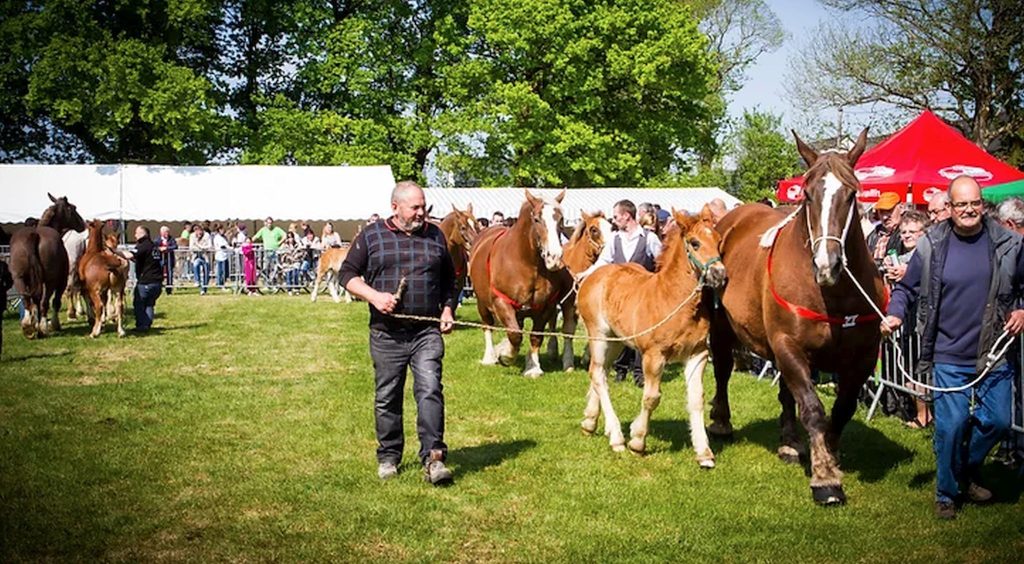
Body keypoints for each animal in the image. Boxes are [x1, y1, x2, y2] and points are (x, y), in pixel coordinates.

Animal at [9, 194, 85, 337]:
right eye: (73, 208)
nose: (83, 224)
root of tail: (34, 235)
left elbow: (35, 302)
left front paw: (35, 324)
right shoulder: (61, 281)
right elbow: (56, 301)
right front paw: (53, 324)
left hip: (19, 278)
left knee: (27, 299)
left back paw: (28, 326)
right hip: (50, 281)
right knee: (45, 302)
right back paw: (44, 327)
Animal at [468, 187, 573, 376]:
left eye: (560, 219)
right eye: (537, 219)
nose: (554, 257)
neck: (526, 263)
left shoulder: (545, 307)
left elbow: (535, 336)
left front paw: (533, 367)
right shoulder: (501, 302)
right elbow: (515, 335)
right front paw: (506, 356)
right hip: (481, 301)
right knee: (488, 325)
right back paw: (489, 356)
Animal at [577, 207, 729, 468]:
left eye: (719, 241)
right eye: (695, 243)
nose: (720, 275)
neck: (676, 302)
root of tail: (594, 275)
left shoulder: (698, 354)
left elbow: (696, 399)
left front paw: (704, 452)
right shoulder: (653, 356)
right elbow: (651, 398)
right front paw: (637, 441)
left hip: (615, 341)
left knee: (600, 372)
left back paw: (590, 422)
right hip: (598, 335)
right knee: (597, 374)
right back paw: (616, 437)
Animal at [708, 128, 884, 507]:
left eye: (852, 193)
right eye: (807, 193)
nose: (827, 264)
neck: (831, 295)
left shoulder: (862, 357)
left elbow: (842, 409)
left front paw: (828, 456)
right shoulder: (789, 345)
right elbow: (814, 409)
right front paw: (825, 479)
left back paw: (790, 440)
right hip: (723, 327)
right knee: (723, 370)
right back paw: (721, 421)